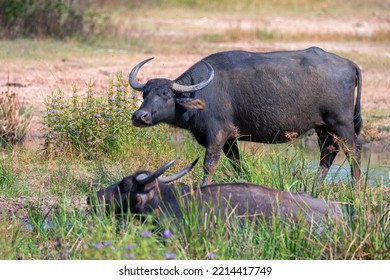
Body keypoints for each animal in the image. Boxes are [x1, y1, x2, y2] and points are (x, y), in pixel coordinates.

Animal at [129, 46, 362, 186]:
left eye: (165, 94)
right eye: (144, 93)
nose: (140, 116)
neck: (200, 94)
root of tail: (349, 64)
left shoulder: (217, 133)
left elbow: (208, 165)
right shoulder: (230, 139)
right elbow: (237, 164)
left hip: (341, 123)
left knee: (354, 153)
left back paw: (356, 189)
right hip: (323, 126)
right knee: (327, 153)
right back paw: (314, 187)